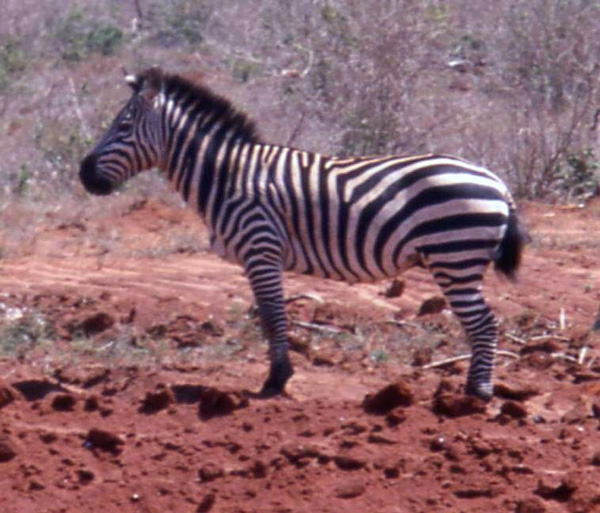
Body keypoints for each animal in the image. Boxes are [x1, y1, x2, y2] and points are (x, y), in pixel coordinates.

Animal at [78, 67, 524, 400]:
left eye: (124, 125)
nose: (84, 175)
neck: (226, 176)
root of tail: (497, 182)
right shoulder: (256, 257)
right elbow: (267, 316)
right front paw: (278, 374)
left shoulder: (261, 247)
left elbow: (275, 316)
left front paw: (276, 381)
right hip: (458, 257)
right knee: (483, 324)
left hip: (455, 255)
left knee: (484, 324)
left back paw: (477, 393)